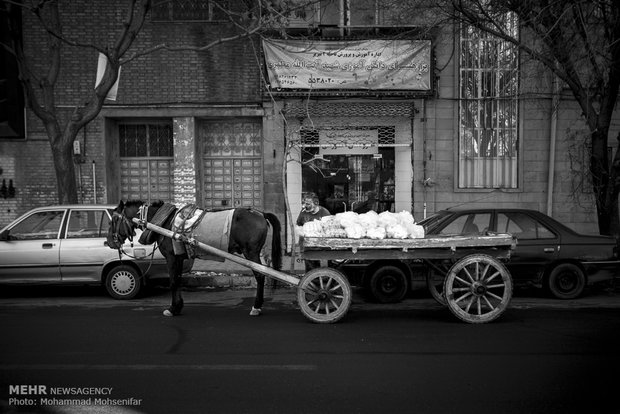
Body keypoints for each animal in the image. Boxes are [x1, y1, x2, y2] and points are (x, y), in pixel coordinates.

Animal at [108, 201, 282, 316]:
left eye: (115, 219)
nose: (109, 241)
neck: (164, 222)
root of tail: (261, 214)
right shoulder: (179, 257)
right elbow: (178, 280)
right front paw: (178, 306)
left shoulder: (171, 257)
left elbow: (173, 281)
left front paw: (172, 309)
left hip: (251, 252)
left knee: (260, 276)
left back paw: (256, 307)